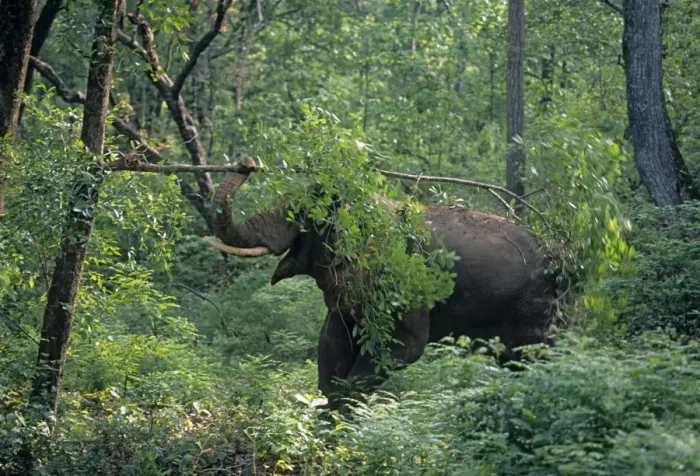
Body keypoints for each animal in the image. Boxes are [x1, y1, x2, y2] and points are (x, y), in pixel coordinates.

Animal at [206, 159, 555, 410]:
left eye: (300, 213)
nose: (247, 163)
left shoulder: (399, 283)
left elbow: (403, 346)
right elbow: (331, 343)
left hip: (537, 307)